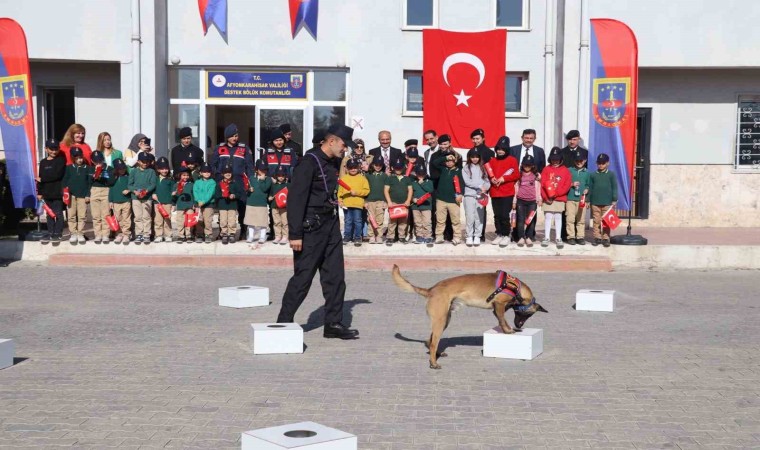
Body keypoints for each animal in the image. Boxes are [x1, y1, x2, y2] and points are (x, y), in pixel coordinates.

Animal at [392, 266, 548, 368]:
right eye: (528, 314)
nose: (520, 326)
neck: (516, 287)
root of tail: (431, 290)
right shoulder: (499, 305)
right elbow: (503, 320)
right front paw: (508, 330)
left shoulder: (498, 309)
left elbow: (501, 319)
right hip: (440, 320)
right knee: (433, 342)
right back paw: (434, 362)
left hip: (445, 319)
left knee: (429, 341)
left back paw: (437, 354)